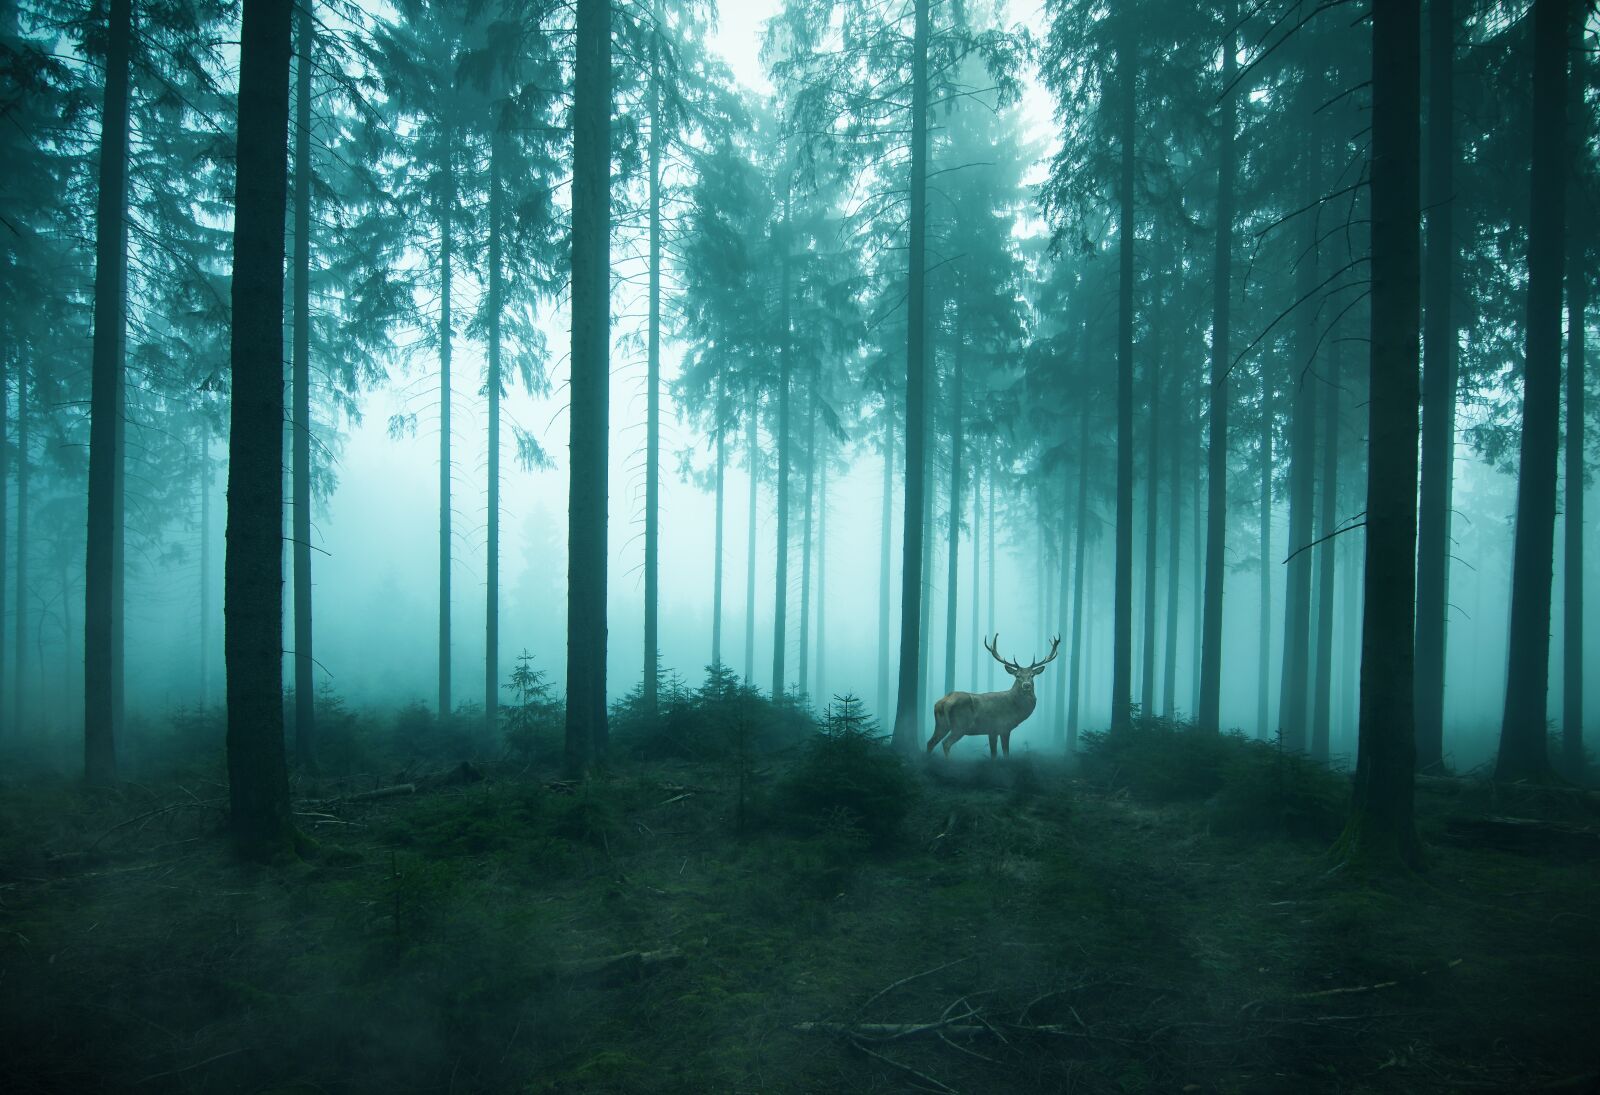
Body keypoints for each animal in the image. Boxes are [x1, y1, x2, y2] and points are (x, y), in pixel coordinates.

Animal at [927, 634, 1061, 758]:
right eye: (1017, 675)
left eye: (1032, 675)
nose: (1027, 685)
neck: (1015, 709)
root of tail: (943, 702)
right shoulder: (1003, 727)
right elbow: (1005, 753)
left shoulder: (992, 730)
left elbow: (994, 754)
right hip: (960, 725)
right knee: (946, 743)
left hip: (941, 724)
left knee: (930, 742)